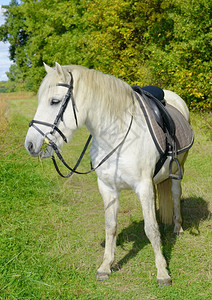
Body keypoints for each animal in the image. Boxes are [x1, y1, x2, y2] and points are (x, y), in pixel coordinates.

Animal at [24, 62, 190, 286]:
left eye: (55, 101)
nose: (30, 144)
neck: (117, 136)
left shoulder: (144, 186)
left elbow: (151, 229)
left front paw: (162, 272)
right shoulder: (107, 187)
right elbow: (110, 226)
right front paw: (105, 266)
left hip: (178, 169)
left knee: (175, 194)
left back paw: (178, 228)